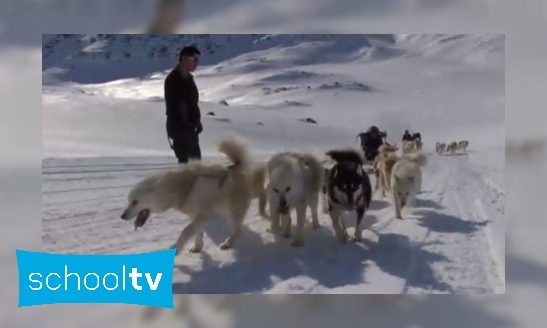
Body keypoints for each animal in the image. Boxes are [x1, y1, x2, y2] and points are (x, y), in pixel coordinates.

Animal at [121, 136, 254, 256]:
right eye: (129, 201)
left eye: (135, 202)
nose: (122, 216)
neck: (185, 186)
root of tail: (236, 167)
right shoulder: (194, 214)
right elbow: (197, 232)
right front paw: (197, 247)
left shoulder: (206, 214)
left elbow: (186, 231)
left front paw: (176, 249)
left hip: (233, 211)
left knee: (236, 229)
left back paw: (228, 243)